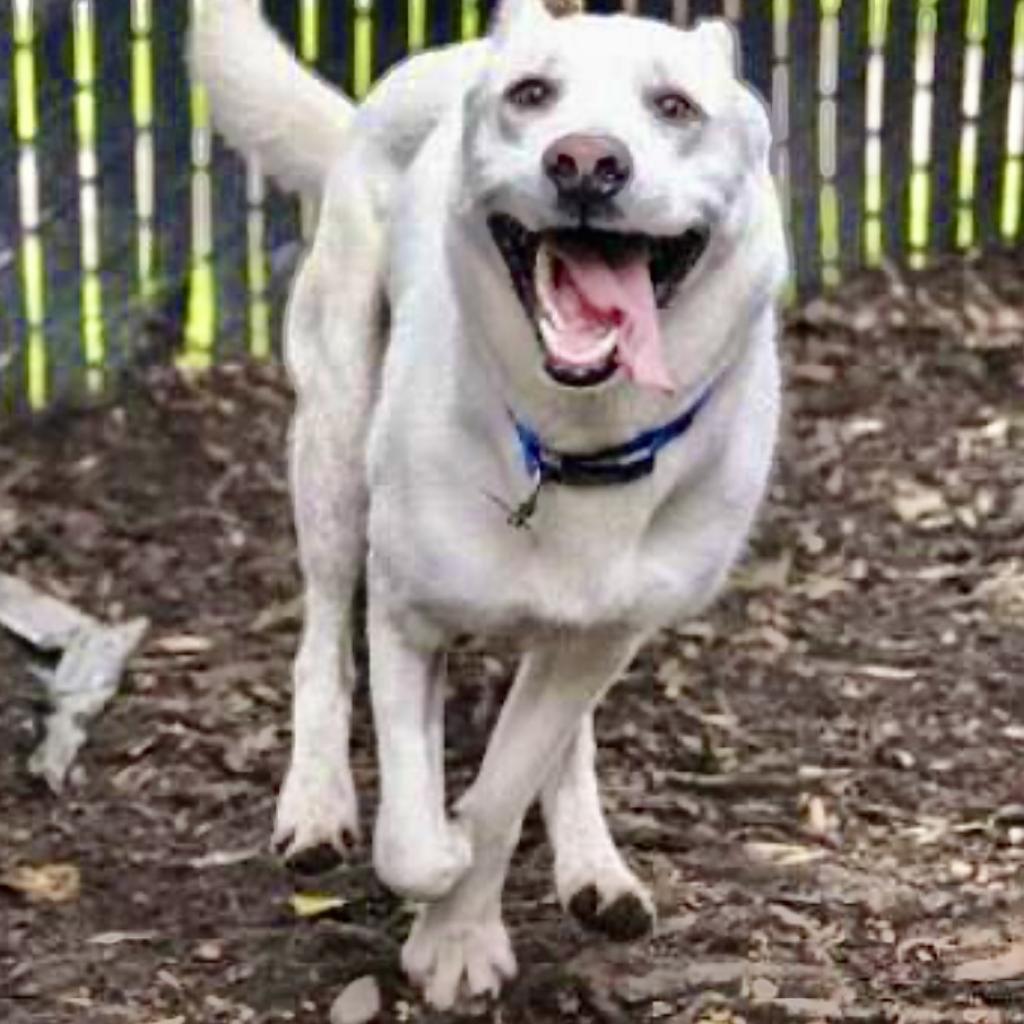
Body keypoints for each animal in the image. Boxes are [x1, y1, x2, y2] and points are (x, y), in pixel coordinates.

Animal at [192, 0, 786, 1007]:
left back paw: (592, 864)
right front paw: (443, 874)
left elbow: (510, 785)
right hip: (333, 436)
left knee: (563, 739)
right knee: (321, 642)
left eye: (675, 106)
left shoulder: (603, 637)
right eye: (532, 95)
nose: (584, 161)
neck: (577, 444)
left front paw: (461, 926)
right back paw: (316, 802)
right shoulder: (404, 614)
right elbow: (412, 836)